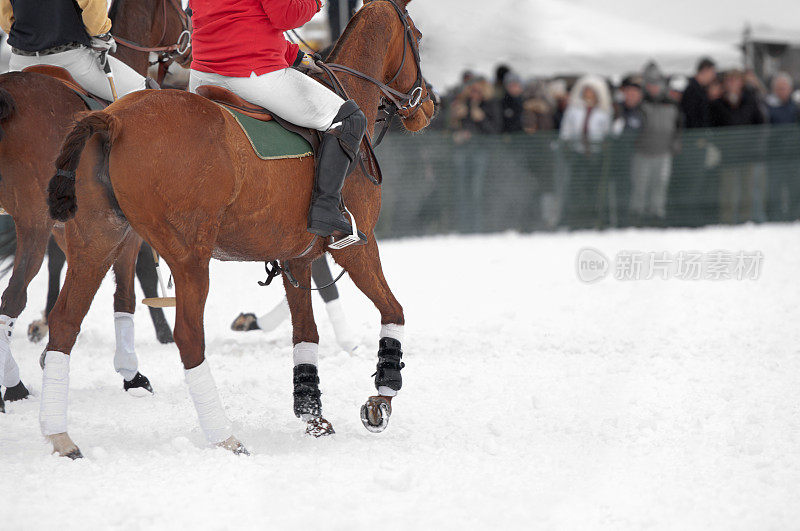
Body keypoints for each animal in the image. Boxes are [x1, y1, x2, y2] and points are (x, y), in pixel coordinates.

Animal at [0, 0, 191, 412]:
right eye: (181, 9)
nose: (188, 50)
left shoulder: (74, 226)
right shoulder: (119, 228)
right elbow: (127, 292)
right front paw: (132, 374)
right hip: (33, 222)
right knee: (13, 297)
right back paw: (15, 387)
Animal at [43, 0, 432, 458]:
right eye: (417, 36)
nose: (429, 106)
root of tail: (112, 120)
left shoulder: (296, 257)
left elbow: (306, 334)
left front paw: (313, 416)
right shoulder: (356, 245)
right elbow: (393, 310)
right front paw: (381, 399)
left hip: (97, 241)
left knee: (64, 322)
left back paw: (60, 437)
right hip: (188, 253)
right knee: (188, 336)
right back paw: (225, 437)